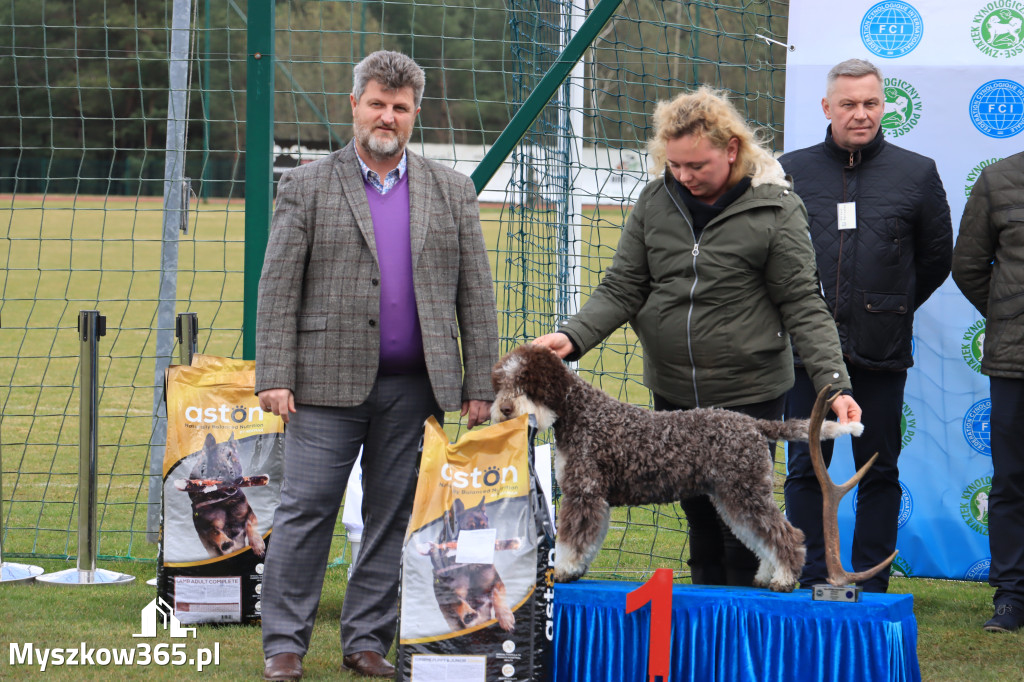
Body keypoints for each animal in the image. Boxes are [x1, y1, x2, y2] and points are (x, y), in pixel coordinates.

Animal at [423, 493, 520, 630]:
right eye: (469, 529)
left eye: (485, 526)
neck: (469, 565)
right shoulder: (447, 594)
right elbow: (457, 600)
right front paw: (468, 613)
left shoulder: (496, 582)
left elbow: (497, 595)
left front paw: (505, 618)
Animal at [491, 346, 860, 589]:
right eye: (502, 384)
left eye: (528, 383)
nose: (505, 409)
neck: (582, 413)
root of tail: (754, 424)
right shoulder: (594, 497)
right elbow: (587, 540)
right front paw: (574, 569)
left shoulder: (584, 492)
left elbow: (573, 538)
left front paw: (564, 570)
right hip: (734, 497)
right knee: (760, 535)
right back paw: (767, 575)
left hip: (745, 492)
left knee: (786, 534)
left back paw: (784, 579)